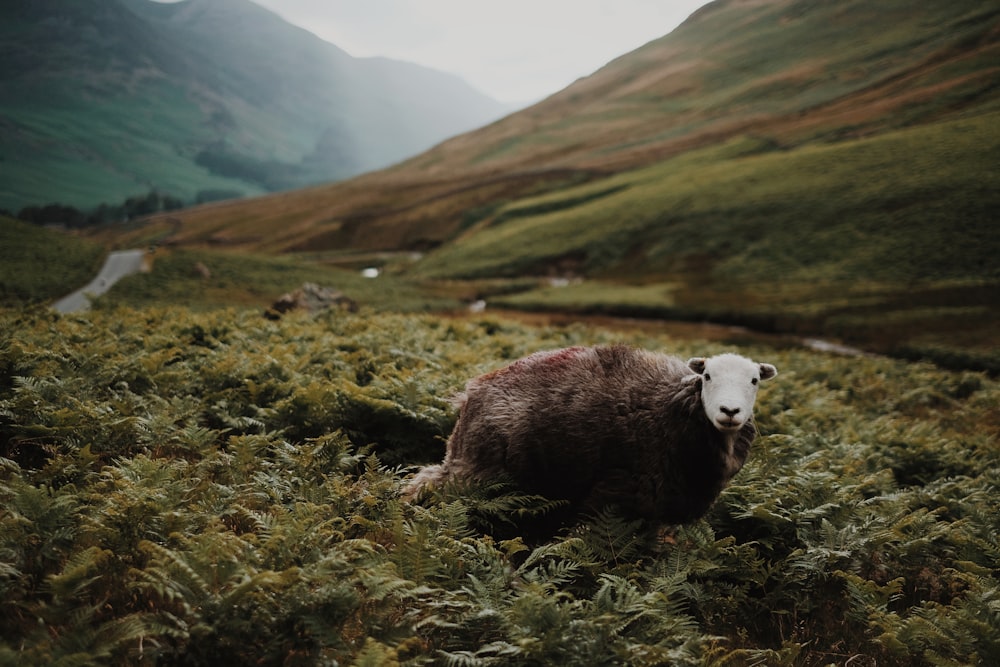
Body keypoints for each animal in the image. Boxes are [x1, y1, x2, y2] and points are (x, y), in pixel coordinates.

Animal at [402, 344, 776, 528]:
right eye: (708, 376)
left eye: (754, 380)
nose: (730, 411)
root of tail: (472, 391)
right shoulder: (615, 493)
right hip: (476, 470)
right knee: (430, 482)